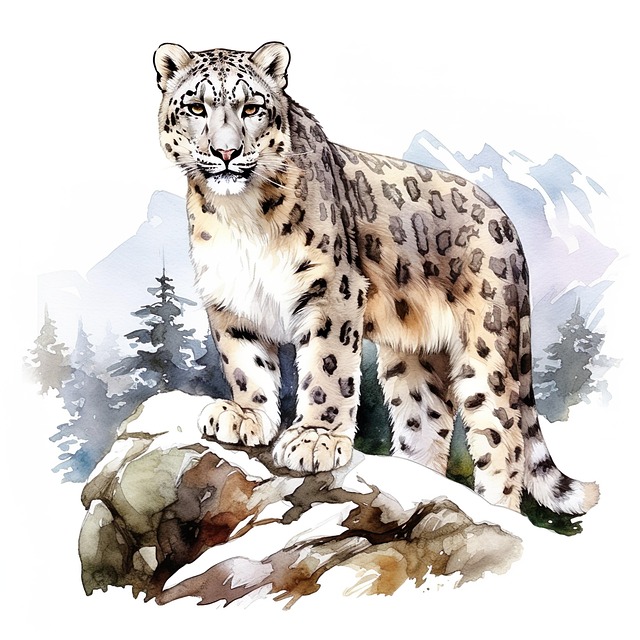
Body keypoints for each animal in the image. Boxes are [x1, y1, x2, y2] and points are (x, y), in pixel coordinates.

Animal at [153, 41, 599, 515]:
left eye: (252, 107)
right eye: (196, 107)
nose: (226, 152)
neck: (239, 216)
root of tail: (507, 224)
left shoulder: (331, 290)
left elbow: (327, 368)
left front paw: (315, 438)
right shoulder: (230, 295)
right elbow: (244, 364)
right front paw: (245, 416)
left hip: (487, 349)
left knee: (503, 437)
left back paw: (496, 510)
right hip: (414, 360)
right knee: (425, 423)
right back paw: (415, 482)